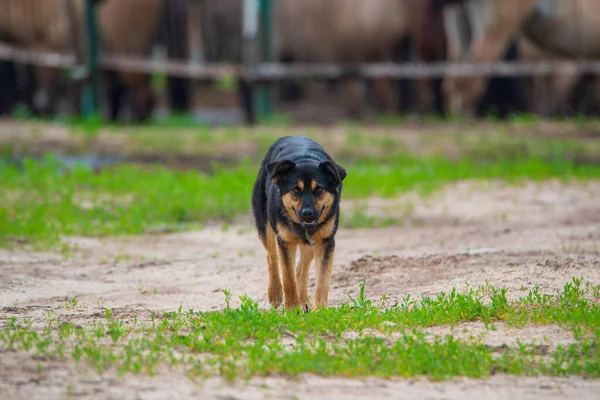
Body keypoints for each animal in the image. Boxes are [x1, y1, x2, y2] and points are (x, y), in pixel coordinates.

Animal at [251, 136, 346, 310]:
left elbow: (322, 280)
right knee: (271, 257)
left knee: (301, 269)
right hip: (266, 227)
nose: (307, 213)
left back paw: (304, 302)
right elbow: (288, 278)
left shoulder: (326, 242)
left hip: (310, 244)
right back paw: (275, 293)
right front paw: (292, 309)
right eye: (296, 189)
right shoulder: (285, 241)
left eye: (319, 189)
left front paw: (320, 310)